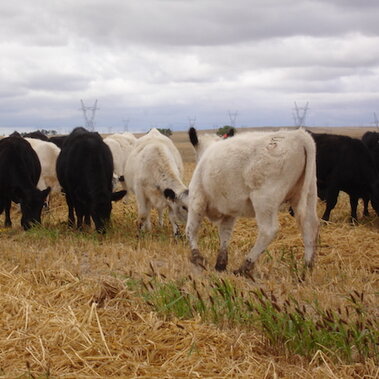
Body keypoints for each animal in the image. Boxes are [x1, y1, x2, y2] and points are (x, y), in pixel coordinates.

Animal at [186, 127, 320, 276]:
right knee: (309, 226)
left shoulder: (196, 199)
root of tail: (298, 135)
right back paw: (306, 268)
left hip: (265, 200)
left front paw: (197, 257)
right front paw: (220, 263)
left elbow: (191, 228)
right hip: (308, 194)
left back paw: (246, 265)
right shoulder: (230, 211)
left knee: (268, 230)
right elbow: (225, 233)